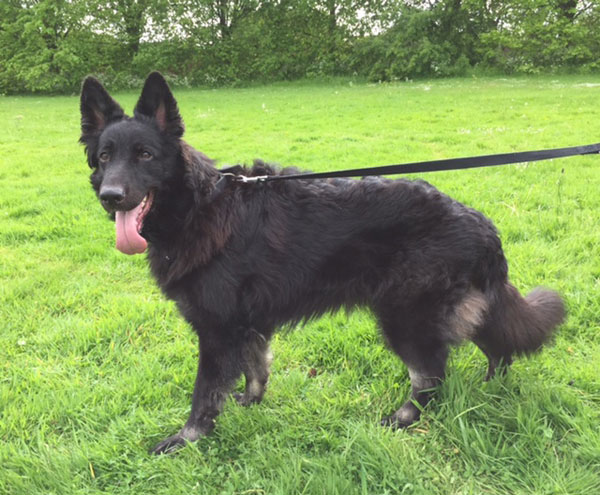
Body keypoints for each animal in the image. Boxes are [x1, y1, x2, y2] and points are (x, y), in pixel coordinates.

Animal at [81, 71, 568, 456]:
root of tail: (481, 223)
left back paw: (402, 418)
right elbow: (256, 368)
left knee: (431, 376)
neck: (197, 206)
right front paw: (251, 404)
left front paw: (187, 439)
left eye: (145, 155)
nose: (111, 196)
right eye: (105, 157)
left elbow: (205, 394)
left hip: (404, 317)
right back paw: (491, 387)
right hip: (454, 310)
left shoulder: (217, 331)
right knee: (496, 345)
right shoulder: (248, 325)